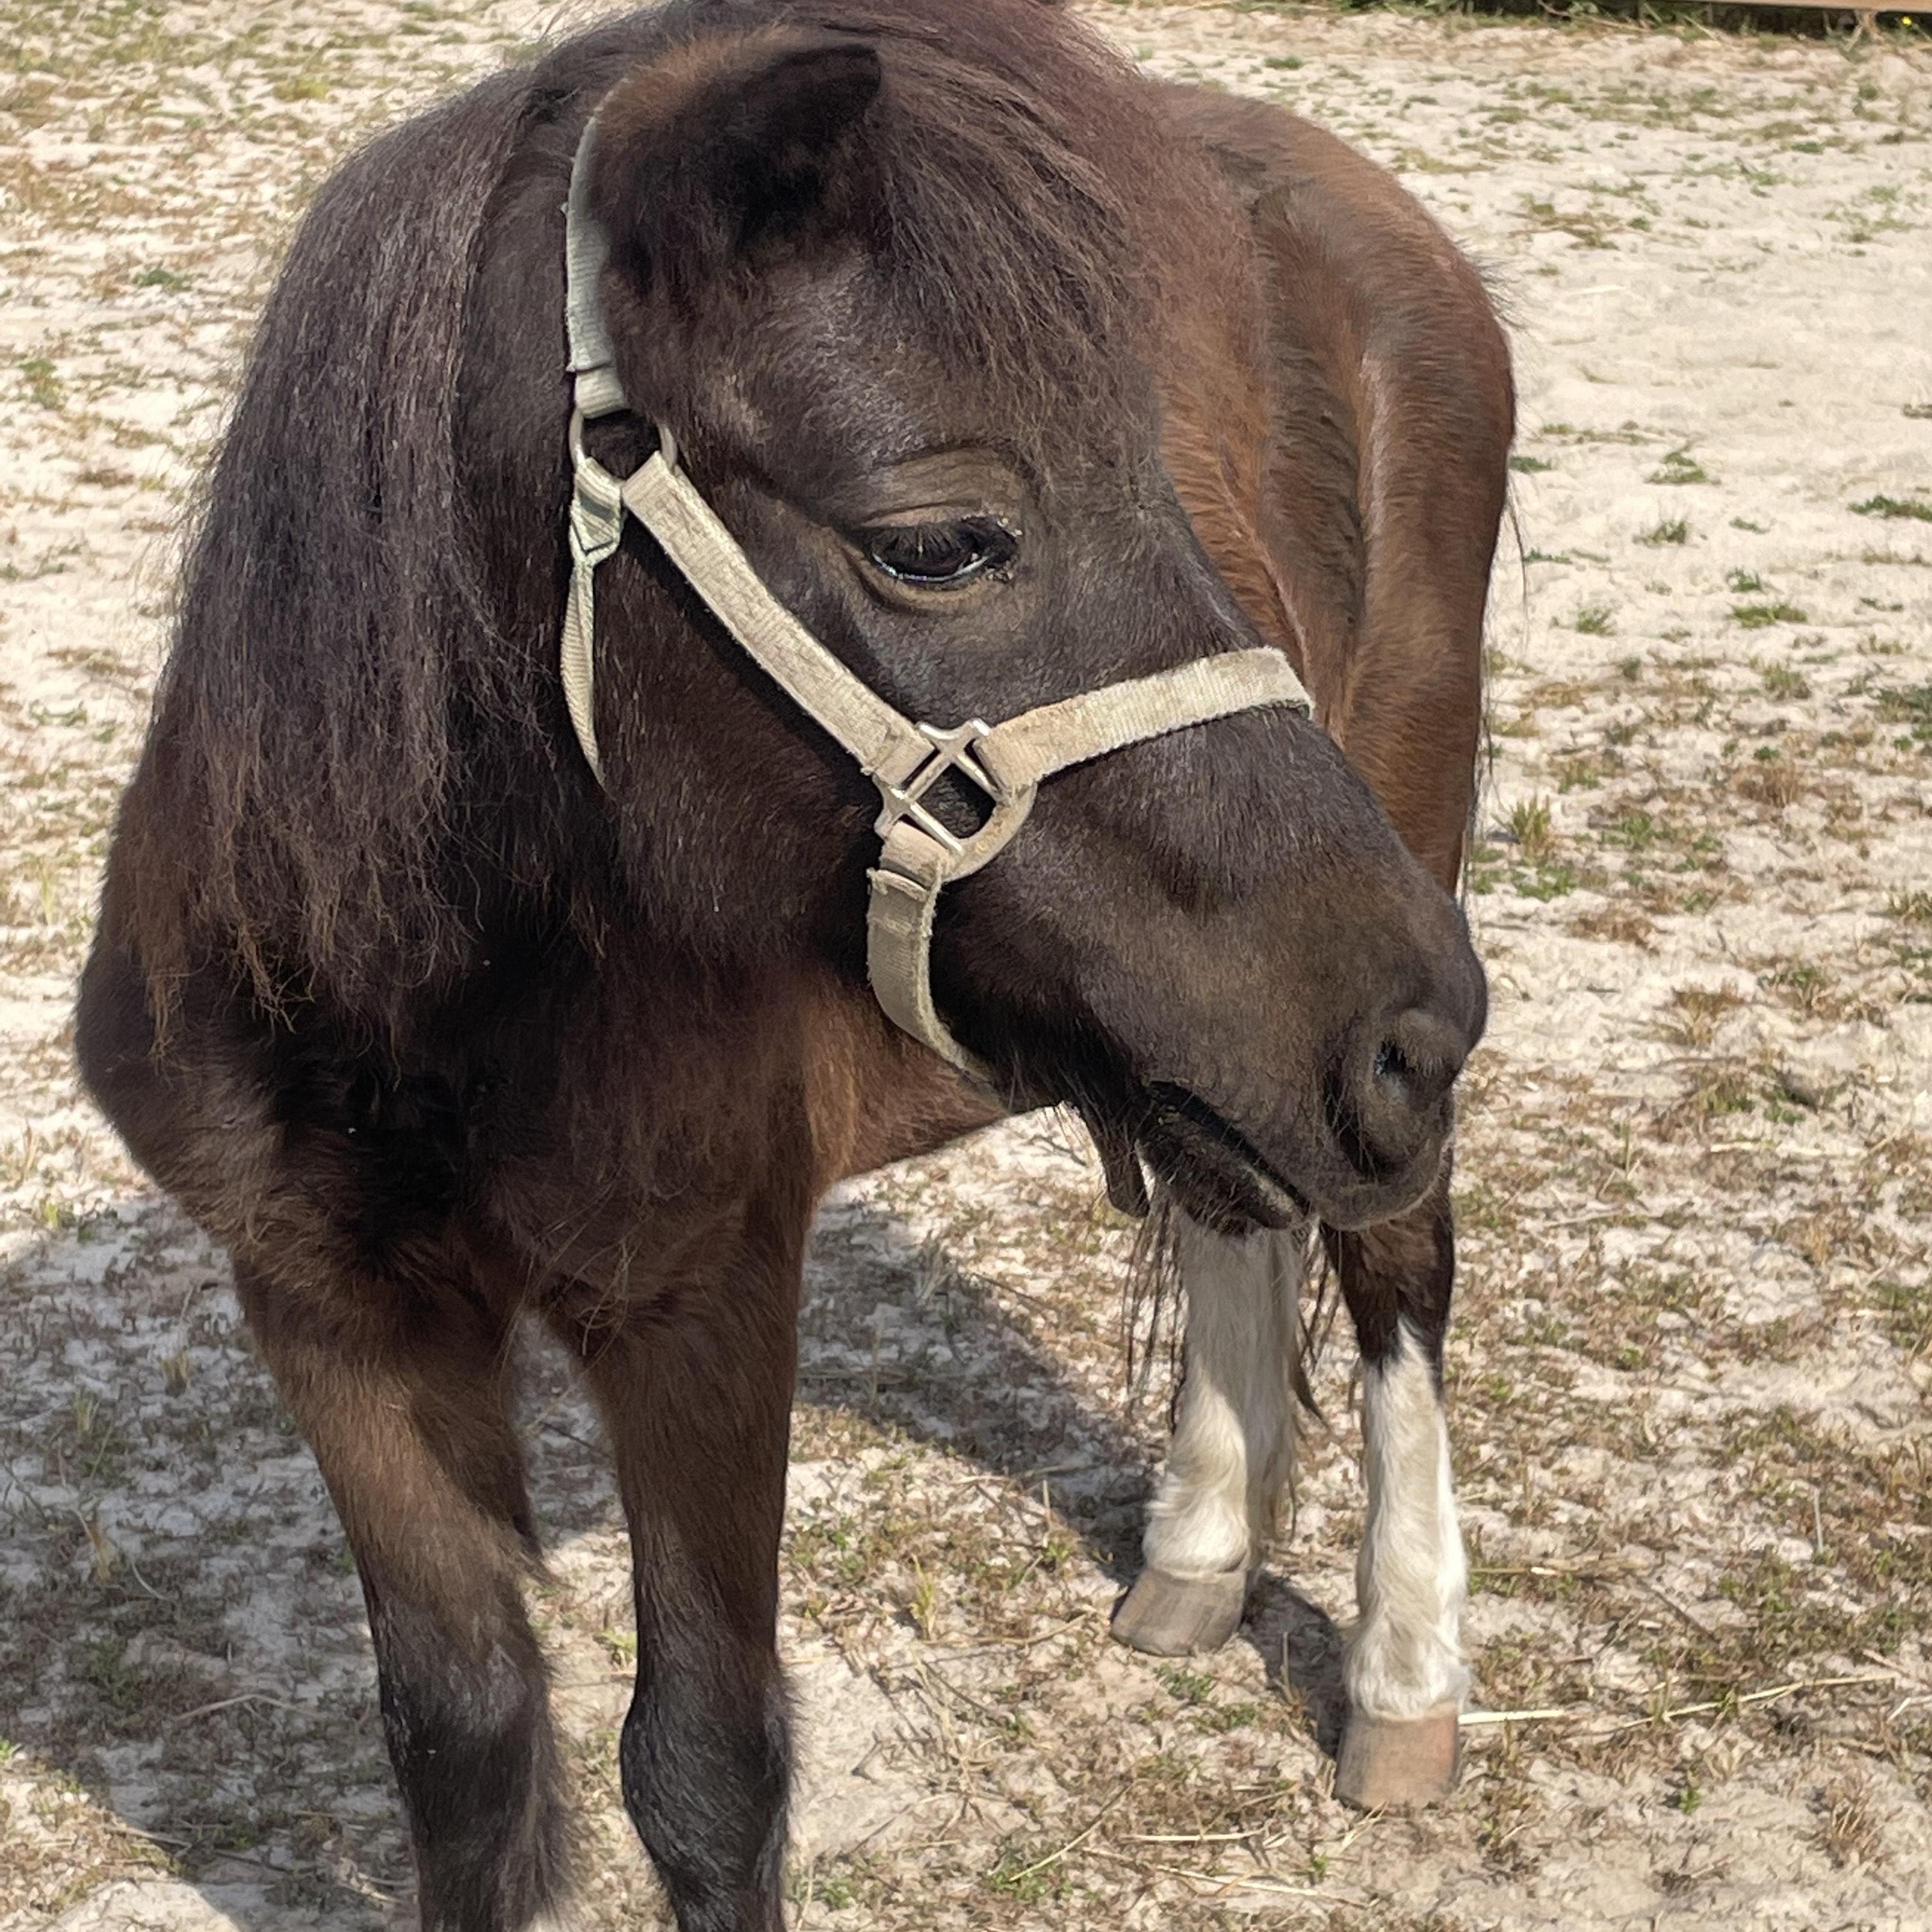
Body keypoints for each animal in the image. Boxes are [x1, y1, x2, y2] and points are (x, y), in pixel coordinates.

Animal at [74, 3, 1511, 1927]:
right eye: (940, 540)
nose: (1412, 1021)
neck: (437, 1008)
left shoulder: (707, 1303)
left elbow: (704, 1766)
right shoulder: (329, 1313)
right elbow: (463, 1741)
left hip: (1385, 884)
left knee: (1396, 1264)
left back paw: (1404, 1679)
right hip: (1222, 1063)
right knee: (1242, 1206)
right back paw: (1203, 1552)